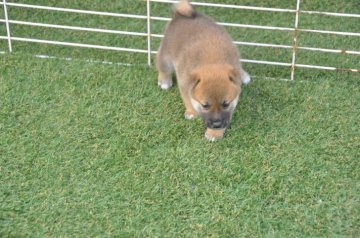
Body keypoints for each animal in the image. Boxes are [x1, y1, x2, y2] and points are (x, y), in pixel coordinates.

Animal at [156, 0, 249, 141]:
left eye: (226, 104)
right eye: (205, 106)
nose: (216, 125)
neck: (212, 61)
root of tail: (181, 14)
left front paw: (214, 133)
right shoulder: (185, 85)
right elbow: (188, 100)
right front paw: (192, 112)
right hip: (166, 56)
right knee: (162, 66)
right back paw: (164, 81)